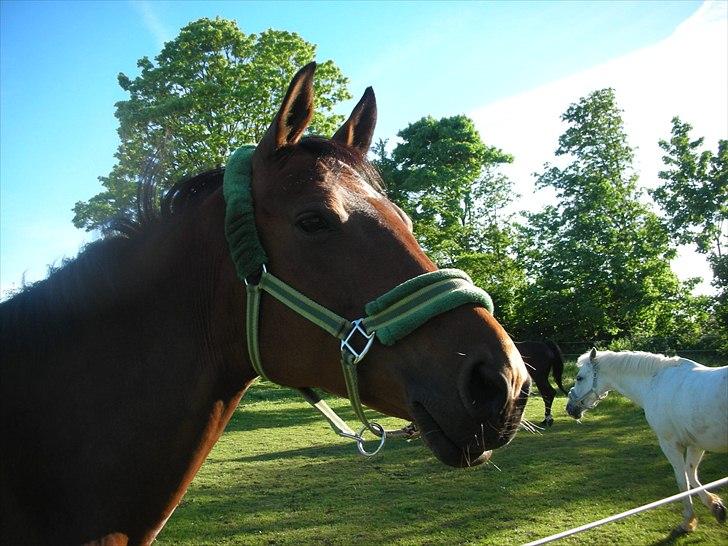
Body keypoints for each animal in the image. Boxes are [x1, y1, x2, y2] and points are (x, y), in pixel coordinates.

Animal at [564, 346, 724, 528]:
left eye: (579, 377)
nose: (570, 408)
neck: (655, 383)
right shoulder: (695, 444)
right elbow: (691, 474)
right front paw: (716, 506)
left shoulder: (670, 444)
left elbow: (682, 479)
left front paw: (689, 520)